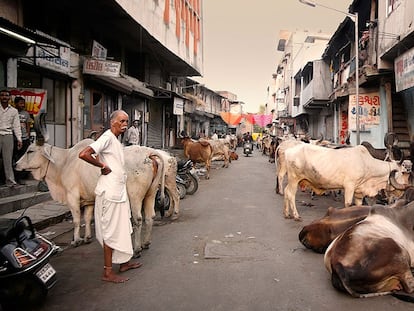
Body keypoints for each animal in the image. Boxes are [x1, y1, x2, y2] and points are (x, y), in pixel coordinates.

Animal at [15, 140, 165, 258]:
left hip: (135, 197)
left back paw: (137, 249)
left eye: (30, 151)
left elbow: (76, 220)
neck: (64, 162)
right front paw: (87, 237)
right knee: (150, 217)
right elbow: (87, 218)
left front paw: (76, 240)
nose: (16, 164)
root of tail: (148, 153)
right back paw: (146, 243)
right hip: (150, 194)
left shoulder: (72, 197)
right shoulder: (89, 199)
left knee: (138, 219)